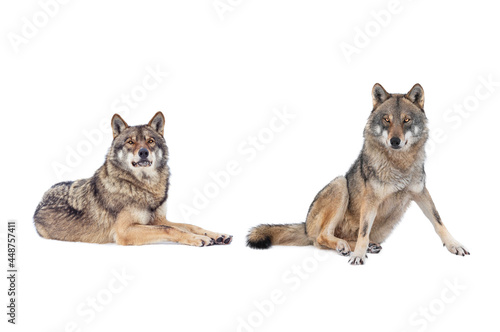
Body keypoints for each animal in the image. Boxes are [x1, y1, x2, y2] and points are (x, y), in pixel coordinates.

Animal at [248, 83, 470, 264]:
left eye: (406, 120)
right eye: (386, 120)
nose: (395, 141)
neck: (398, 165)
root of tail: (304, 226)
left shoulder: (421, 192)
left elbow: (439, 221)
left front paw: (454, 245)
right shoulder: (370, 199)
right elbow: (364, 230)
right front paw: (358, 256)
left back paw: (363, 246)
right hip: (340, 185)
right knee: (321, 238)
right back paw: (345, 247)